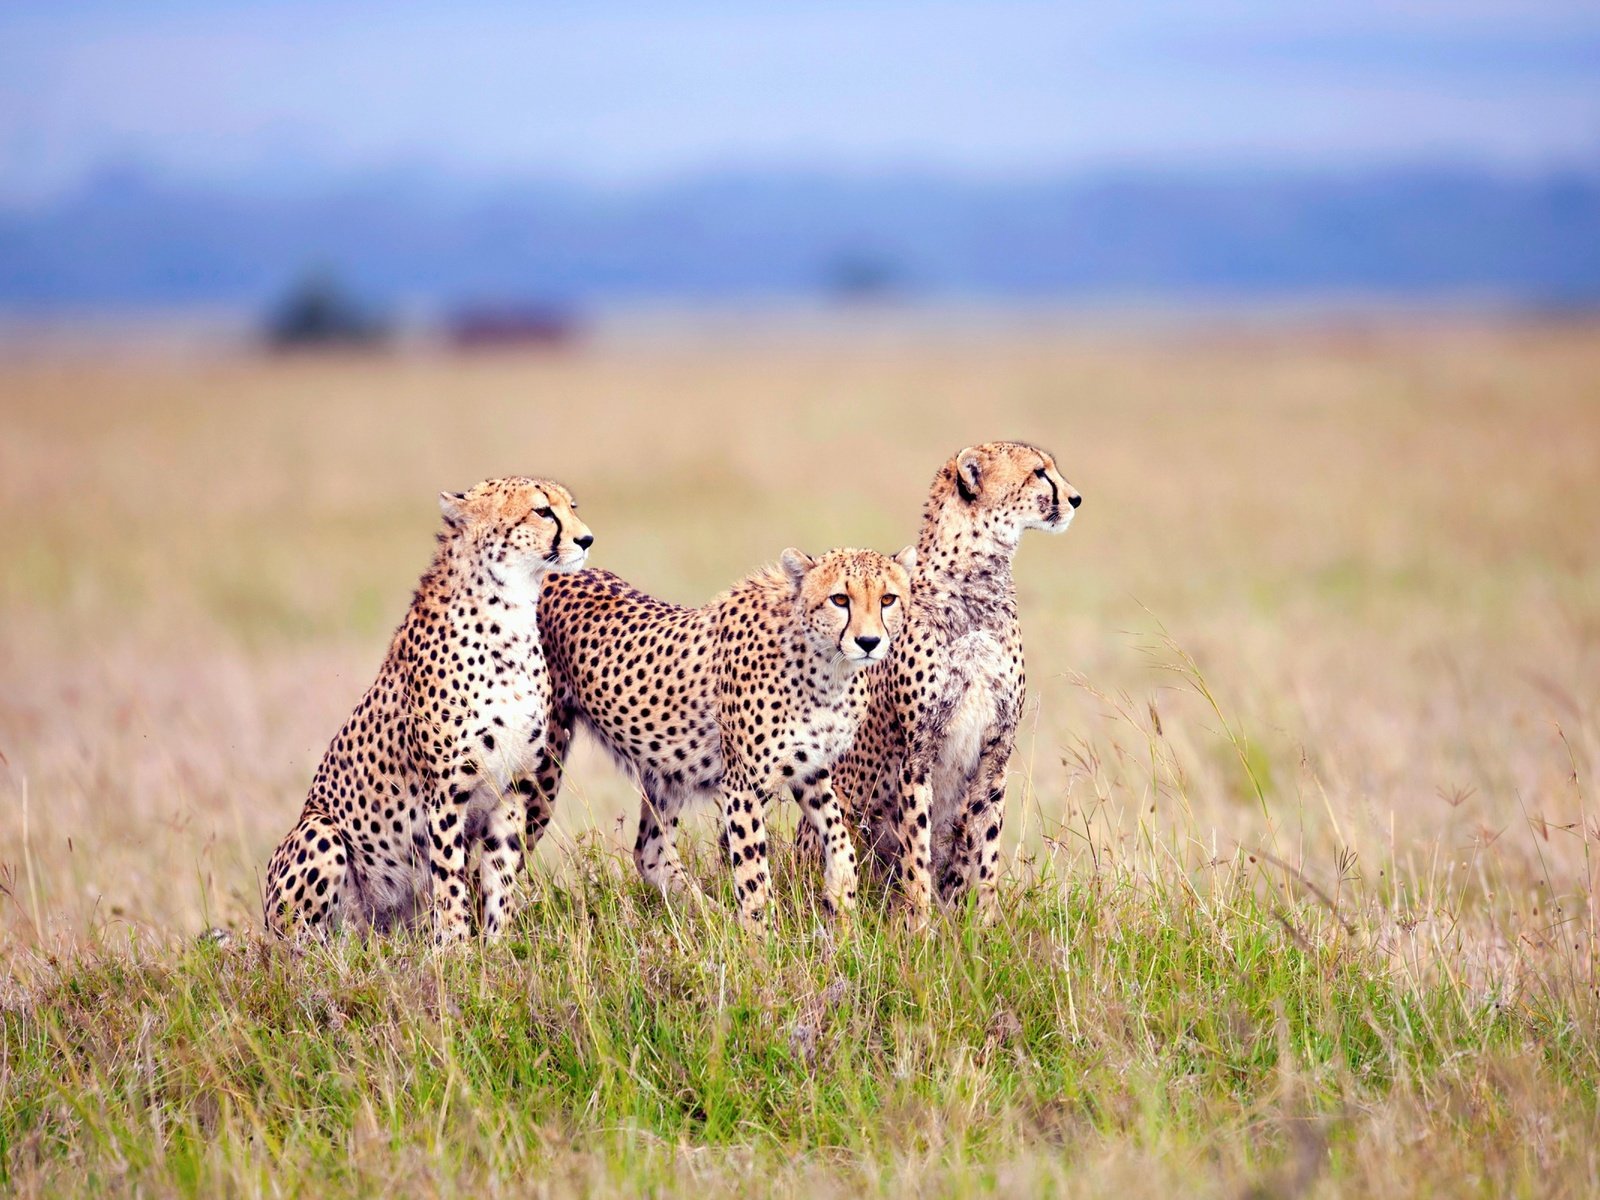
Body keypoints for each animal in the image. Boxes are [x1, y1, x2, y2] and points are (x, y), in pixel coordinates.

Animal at [262, 480, 595, 947]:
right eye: (542, 511)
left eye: (572, 507)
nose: (586, 539)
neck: (509, 617)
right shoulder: (445, 793)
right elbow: (451, 879)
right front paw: (456, 951)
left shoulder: (512, 788)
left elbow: (500, 876)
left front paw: (497, 946)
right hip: (319, 832)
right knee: (300, 945)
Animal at [528, 550, 915, 934]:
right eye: (839, 599)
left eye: (888, 599)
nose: (869, 643)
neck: (825, 667)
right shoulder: (744, 785)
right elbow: (754, 874)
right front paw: (762, 939)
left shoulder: (811, 769)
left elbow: (839, 836)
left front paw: (841, 900)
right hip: (543, 764)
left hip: (665, 770)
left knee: (650, 853)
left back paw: (713, 917)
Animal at [812, 448, 1088, 928]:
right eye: (1039, 472)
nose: (1075, 498)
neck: (977, 580)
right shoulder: (917, 751)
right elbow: (916, 847)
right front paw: (920, 924)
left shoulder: (996, 751)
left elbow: (986, 844)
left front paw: (985, 924)